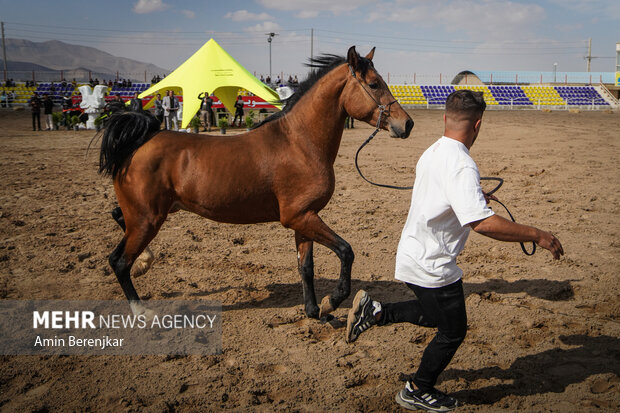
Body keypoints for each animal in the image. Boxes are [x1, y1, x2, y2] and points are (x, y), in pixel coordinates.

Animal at [99, 47, 414, 318]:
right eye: (374, 84)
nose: (407, 124)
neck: (300, 143)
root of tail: (141, 142)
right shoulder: (299, 217)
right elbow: (346, 252)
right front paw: (331, 302)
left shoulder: (305, 217)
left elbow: (306, 267)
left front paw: (314, 311)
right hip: (147, 219)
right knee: (118, 260)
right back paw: (142, 308)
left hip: (151, 214)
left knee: (117, 222)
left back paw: (145, 261)